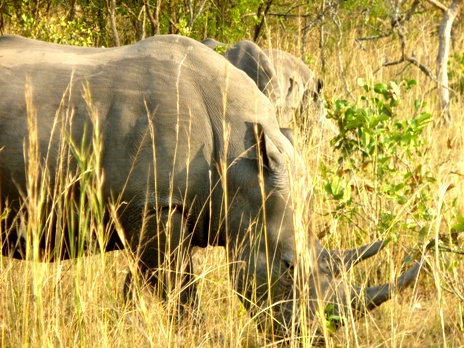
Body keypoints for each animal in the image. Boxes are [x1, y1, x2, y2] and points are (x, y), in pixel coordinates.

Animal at [0, 34, 420, 342]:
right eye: (287, 267)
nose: (315, 337)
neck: (242, 165)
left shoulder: (160, 209)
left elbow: (143, 283)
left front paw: (122, 321)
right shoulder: (156, 203)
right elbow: (179, 292)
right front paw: (198, 336)